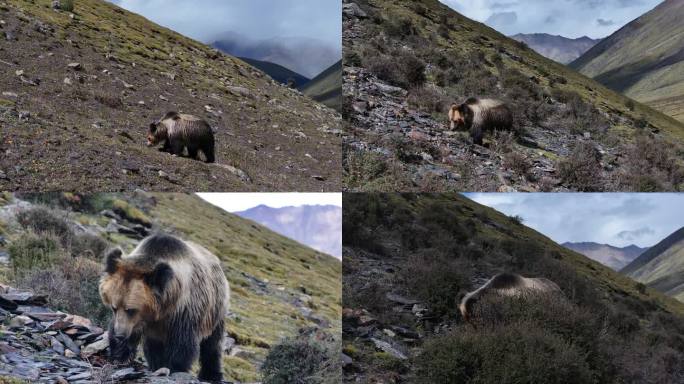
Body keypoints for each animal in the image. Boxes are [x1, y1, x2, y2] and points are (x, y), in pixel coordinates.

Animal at [100, 232, 230, 382]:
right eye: (114, 307)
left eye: (131, 310)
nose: (120, 335)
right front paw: (119, 355)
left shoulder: (184, 311)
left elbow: (182, 343)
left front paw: (174, 367)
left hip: (216, 309)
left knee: (213, 344)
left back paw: (211, 374)